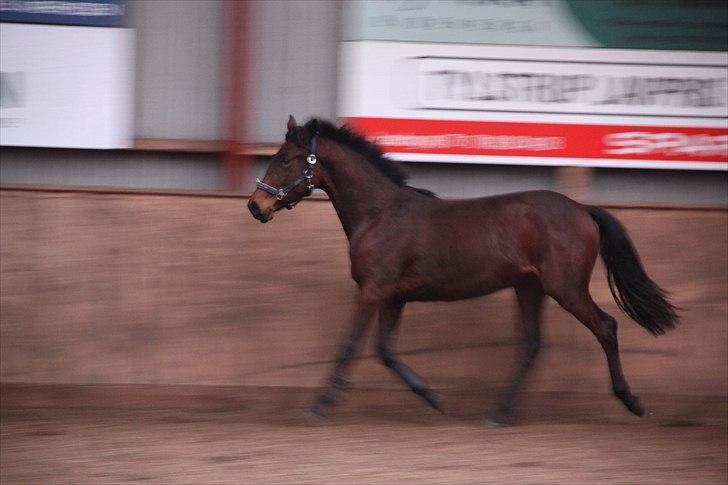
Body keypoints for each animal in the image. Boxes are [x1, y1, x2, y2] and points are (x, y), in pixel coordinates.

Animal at [249, 115, 676, 422]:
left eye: (285, 159)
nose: (256, 206)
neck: (379, 214)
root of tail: (582, 210)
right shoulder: (393, 297)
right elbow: (385, 351)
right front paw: (433, 397)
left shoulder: (372, 291)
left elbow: (350, 345)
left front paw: (319, 406)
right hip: (529, 288)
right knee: (532, 344)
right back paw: (502, 412)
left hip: (566, 288)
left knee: (606, 327)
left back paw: (630, 401)